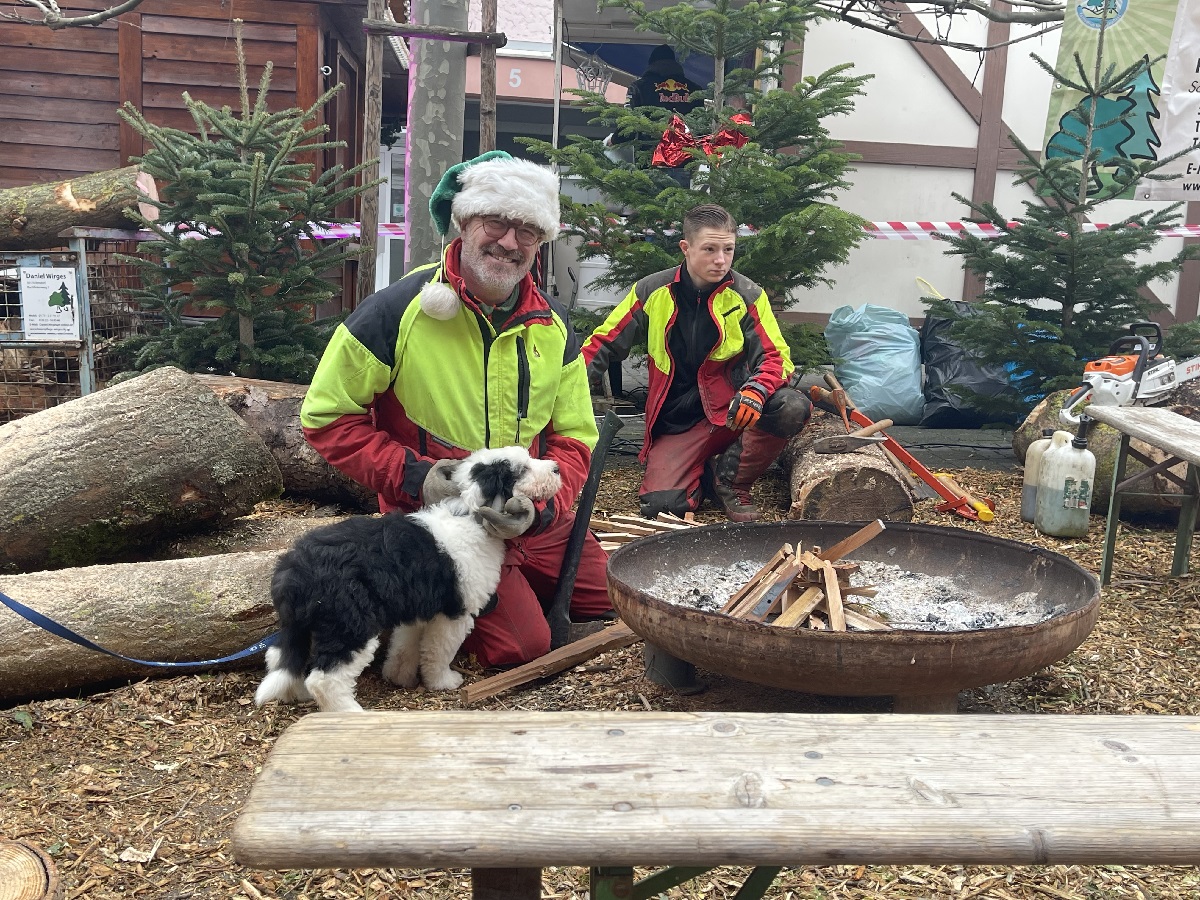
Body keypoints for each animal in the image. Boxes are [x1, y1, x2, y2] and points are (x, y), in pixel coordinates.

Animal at [254, 448, 561, 715]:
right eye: (522, 470)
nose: (557, 468)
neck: (469, 516)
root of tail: (294, 569)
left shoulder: (417, 608)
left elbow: (406, 646)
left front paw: (399, 677)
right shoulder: (454, 615)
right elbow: (438, 651)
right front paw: (443, 682)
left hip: (303, 625)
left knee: (278, 658)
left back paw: (294, 694)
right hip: (349, 624)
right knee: (324, 679)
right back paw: (350, 714)